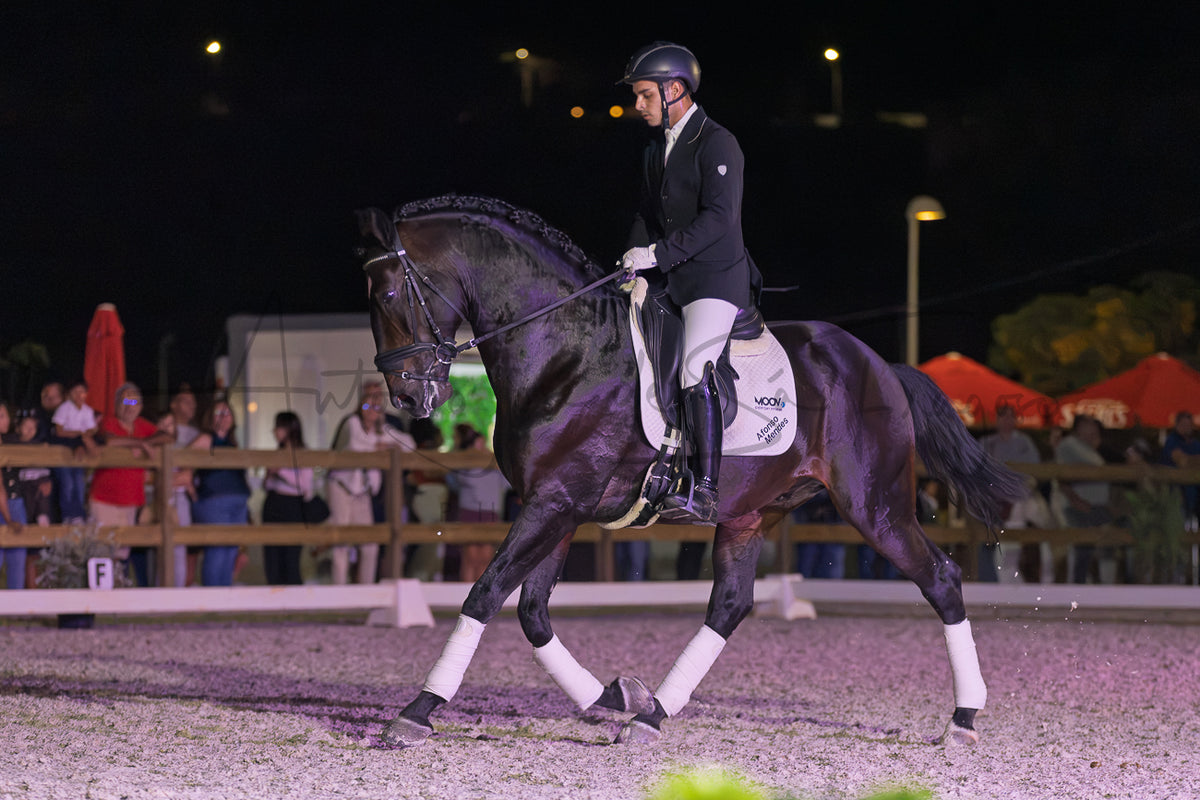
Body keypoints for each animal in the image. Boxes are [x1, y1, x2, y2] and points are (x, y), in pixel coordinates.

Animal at [357, 194, 1023, 748]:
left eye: (386, 297)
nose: (408, 396)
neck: (567, 353)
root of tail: (882, 365)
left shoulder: (554, 502)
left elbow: (486, 593)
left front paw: (417, 711)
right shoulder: (555, 506)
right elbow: (532, 612)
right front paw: (615, 696)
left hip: (875, 506)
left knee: (941, 579)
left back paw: (964, 718)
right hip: (753, 512)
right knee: (728, 605)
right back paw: (653, 715)